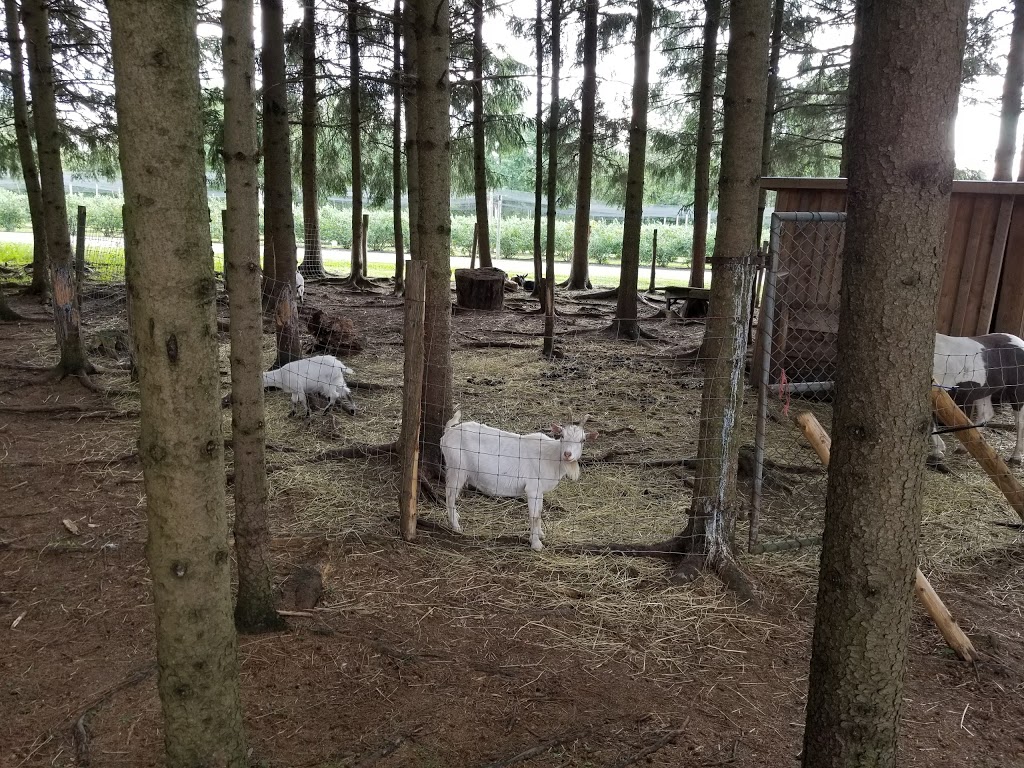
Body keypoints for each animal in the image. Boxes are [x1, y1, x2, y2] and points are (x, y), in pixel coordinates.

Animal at [440, 411, 598, 548]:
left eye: (583, 440)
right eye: (562, 436)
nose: (567, 454)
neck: (551, 456)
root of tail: (448, 432)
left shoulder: (539, 491)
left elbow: (539, 512)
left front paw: (540, 534)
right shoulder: (533, 488)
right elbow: (534, 515)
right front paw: (536, 544)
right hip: (457, 469)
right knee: (450, 495)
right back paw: (456, 526)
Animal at [933, 333, 1024, 466]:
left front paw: (938, 451)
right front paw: (938, 450)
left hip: (1017, 392)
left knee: (1019, 423)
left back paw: (1016, 457)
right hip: (983, 392)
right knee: (986, 414)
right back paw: (965, 448)